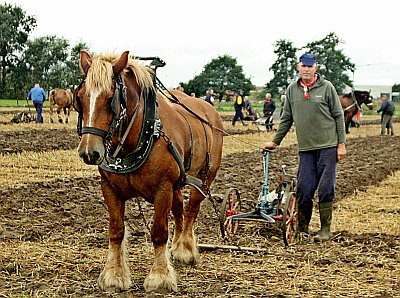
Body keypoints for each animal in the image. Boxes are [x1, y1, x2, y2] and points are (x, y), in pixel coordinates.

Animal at [74, 50, 225, 294]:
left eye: (111, 98)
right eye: (80, 97)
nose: (90, 152)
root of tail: (210, 110)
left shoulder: (162, 188)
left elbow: (159, 232)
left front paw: (160, 277)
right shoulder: (110, 188)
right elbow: (116, 230)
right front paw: (114, 275)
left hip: (204, 178)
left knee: (192, 209)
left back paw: (186, 249)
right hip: (178, 182)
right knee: (180, 210)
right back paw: (177, 248)